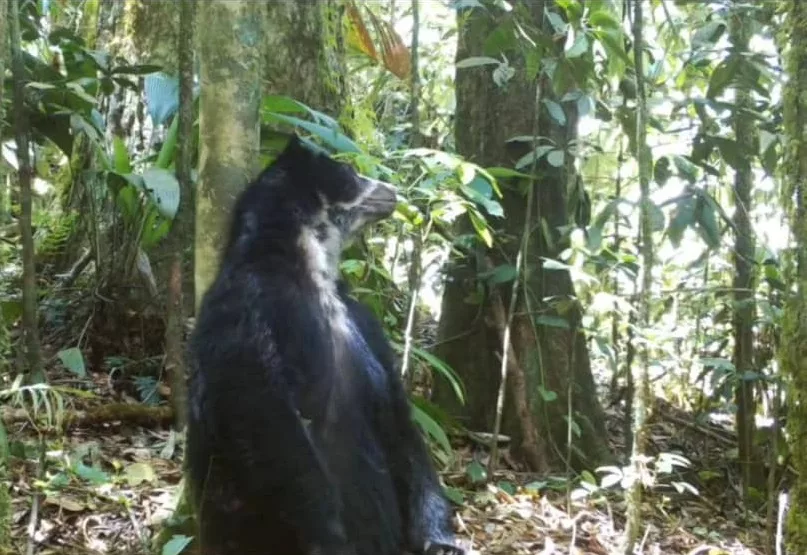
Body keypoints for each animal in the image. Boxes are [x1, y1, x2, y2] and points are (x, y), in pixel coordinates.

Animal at [186, 136, 464, 555]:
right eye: (349, 172)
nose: (392, 190)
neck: (309, 272)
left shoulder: (363, 322)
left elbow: (398, 416)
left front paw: (440, 539)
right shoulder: (245, 308)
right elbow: (259, 411)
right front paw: (327, 535)